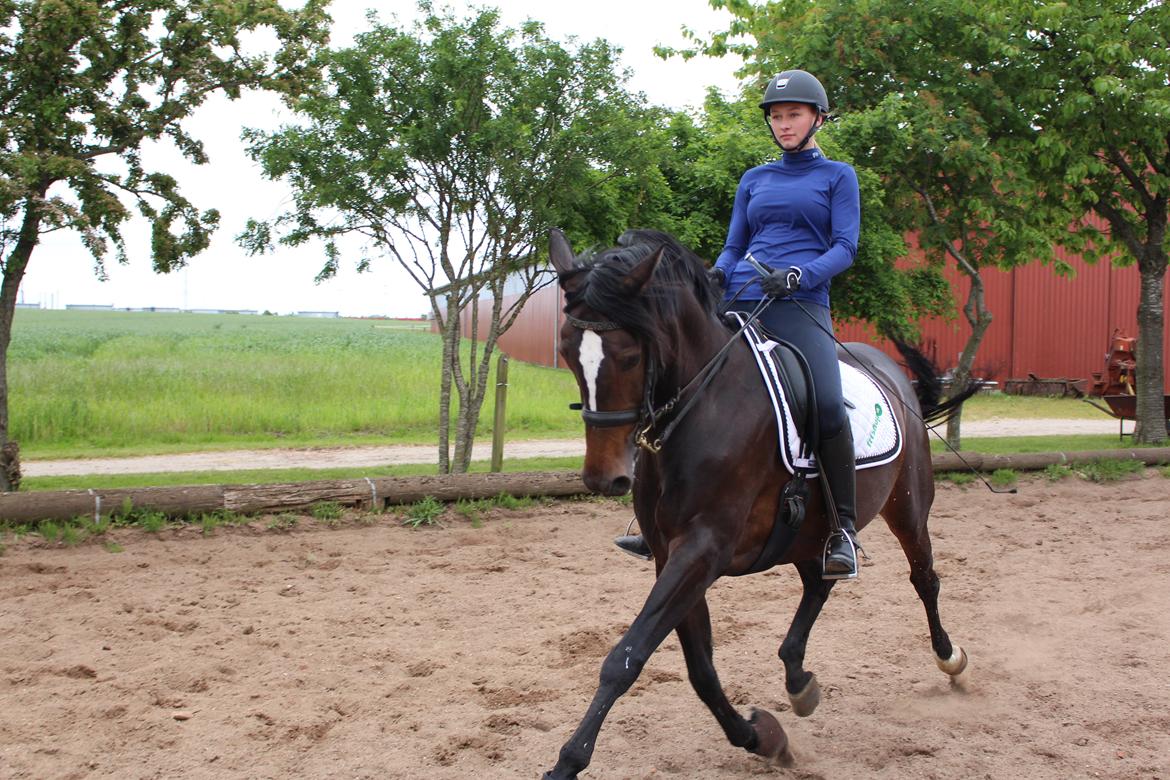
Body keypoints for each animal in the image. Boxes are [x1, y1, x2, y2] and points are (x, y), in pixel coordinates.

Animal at [542, 229, 973, 776]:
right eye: (567, 350)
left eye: (629, 356)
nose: (604, 477)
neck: (703, 406)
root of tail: (890, 373)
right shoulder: (670, 554)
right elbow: (700, 668)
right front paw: (761, 737)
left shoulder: (702, 549)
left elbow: (626, 657)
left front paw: (567, 761)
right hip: (809, 530)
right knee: (819, 583)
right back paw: (798, 679)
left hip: (909, 505)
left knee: (924, 578)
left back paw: (950, 658)